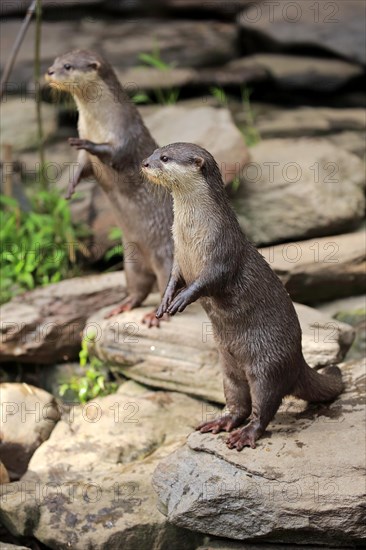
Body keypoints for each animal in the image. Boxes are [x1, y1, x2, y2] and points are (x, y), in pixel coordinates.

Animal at [45, 49, 174, 326]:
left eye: (67, 66)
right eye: (54, 61)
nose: (49, 72)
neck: (96, 123)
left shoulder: (124, 134)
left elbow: (113, 153)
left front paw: (87, 143)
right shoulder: (86, 158)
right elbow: (81, 168)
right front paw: (70, 188)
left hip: (167, 254)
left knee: (165, 285)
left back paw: (154, 315)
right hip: (131, 260)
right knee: (138, 288)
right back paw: (123, 305)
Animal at [142, 143, 344, 452]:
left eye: (164, 158)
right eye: (155, 151)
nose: (144, 163)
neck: (191, 234)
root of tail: (298, 361)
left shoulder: (222, 251)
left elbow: (209, 281)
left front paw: (182, 300)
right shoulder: (178, 258)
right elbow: (173, 279)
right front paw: (164, 302)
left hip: (267, 366)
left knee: (264, 407)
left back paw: (245, 435)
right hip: (228, 368)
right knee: (239, 403)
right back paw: (221, 422)